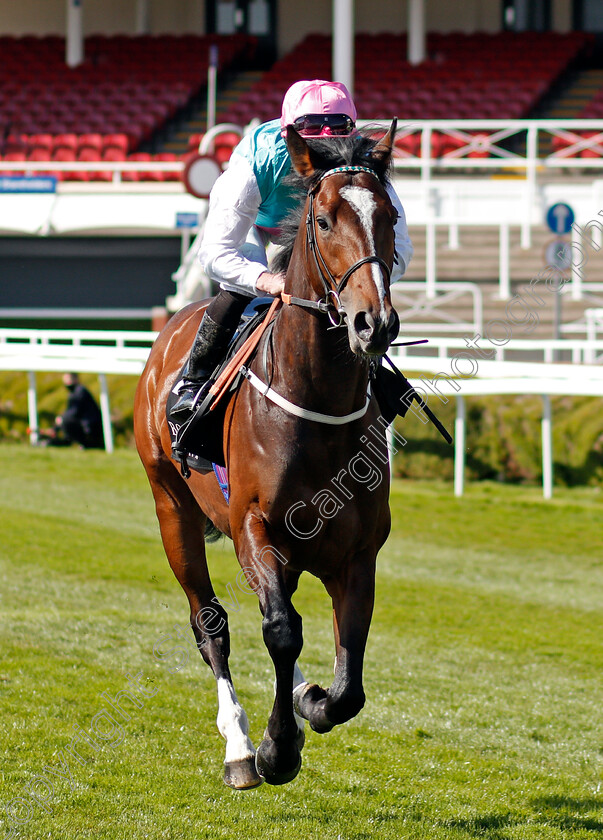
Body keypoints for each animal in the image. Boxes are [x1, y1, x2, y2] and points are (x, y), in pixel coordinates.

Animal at [135, 121, 404, 792]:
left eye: (388, 215)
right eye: (324, 218)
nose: (374, 323)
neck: (316, 402)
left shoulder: (357, 554)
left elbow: (349, 679)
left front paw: (313, 704)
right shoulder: (255, 530)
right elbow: (281, 632)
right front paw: (275, 749)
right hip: (171, 507)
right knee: (210, 625)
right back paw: (237, 746)